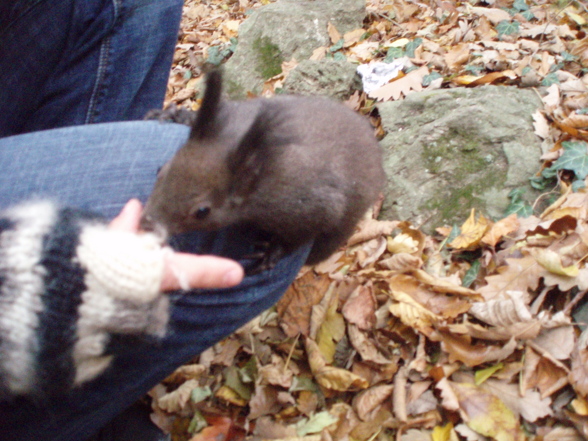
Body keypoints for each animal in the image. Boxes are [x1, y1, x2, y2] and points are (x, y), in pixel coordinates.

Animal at [142, 72, 388, 272]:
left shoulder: (310, 204)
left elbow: (301, 234)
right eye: (161, 171)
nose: (146, 224)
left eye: (202, 211)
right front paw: (176, 115)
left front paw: (273, 250)